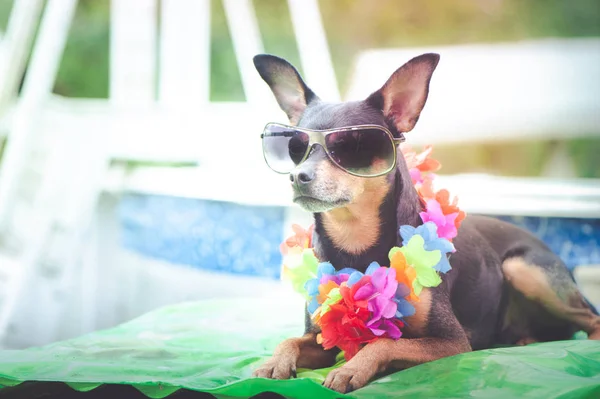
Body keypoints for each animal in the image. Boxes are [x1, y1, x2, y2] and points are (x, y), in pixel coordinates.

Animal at [250, 52, 600, 394]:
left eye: (352, 146)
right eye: (295, 148)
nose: (298, 176)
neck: (355, 242)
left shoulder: (454, 342)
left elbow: (382, 343)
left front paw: (351, 369)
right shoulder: (322, 340)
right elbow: (289, 341)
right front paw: (274, 363)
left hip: (521, 267)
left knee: (592, 321)